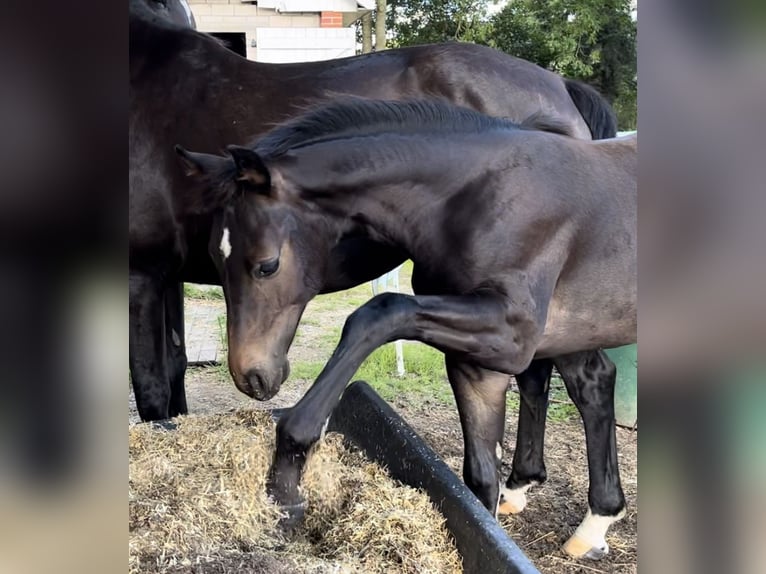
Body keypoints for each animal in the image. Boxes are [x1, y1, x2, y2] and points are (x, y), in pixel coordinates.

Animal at [129, 0, 616, 424]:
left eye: (268, 265)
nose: (253, 378)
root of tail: (560, 85)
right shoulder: (167, 276)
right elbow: (174, 371)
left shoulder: (141, 277)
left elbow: (150, 386)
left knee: (575, 378)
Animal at [177, 100, 640, 564]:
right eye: (215, 262)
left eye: (267, 264)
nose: (251, 376)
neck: (476, 200)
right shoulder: (478, 362)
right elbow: (479, 482)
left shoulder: (511, 333)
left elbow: (378, 312)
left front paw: (287, 479)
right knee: (591, 381)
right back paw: (587, 519)